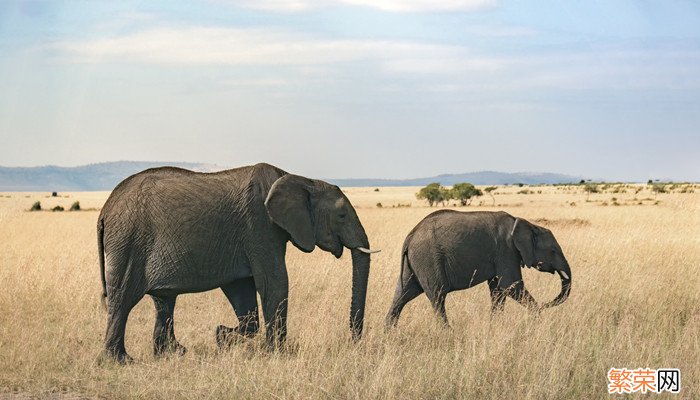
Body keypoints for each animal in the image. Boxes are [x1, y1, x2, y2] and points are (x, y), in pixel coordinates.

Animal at [98, 162, 378, 362]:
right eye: (341, 216)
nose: (353, 342)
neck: (301, 179)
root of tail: (105, 210)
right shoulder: (259, 225)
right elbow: (274, 282)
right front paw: (277, 354)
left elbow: (242, 289)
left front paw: (221, 336)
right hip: (128, 242)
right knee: (123, 299)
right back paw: (120, 361)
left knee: (164, 301)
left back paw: (173, 354)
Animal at [386, 211, 572, 326]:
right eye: (553, 251)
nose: (545, 304)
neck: (525, 224)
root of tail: (410, 236)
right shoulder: (506, 250)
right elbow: (511, 285)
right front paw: (537, 318)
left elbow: (498, 291)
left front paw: (494, 325)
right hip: (428, 259)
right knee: (438, 296)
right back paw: (448, 333)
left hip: (415, 263)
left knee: (402, 294)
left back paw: (389, 333)